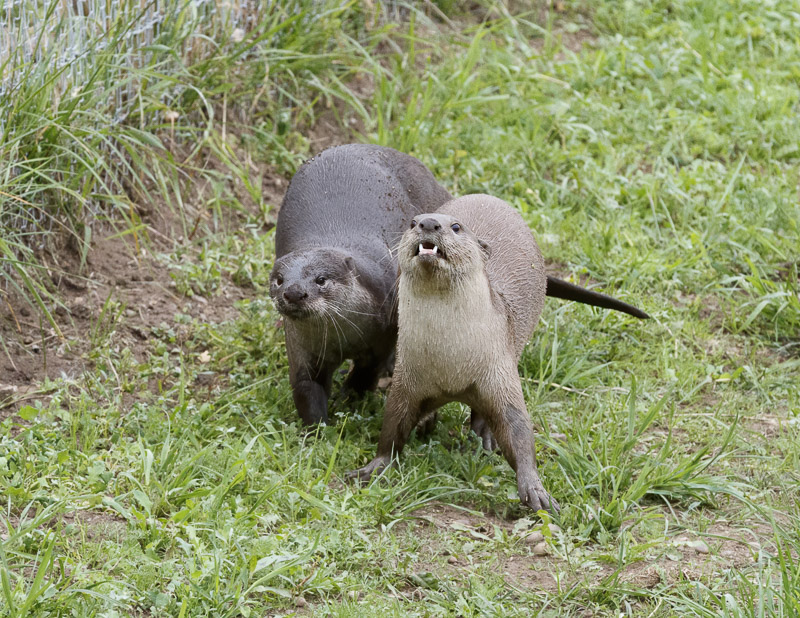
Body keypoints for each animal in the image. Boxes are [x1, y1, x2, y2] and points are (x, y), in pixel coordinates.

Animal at [347, 194, 648, 513]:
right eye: (412, 222)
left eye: (456, 227)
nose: (429, 223)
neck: (452, 360)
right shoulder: (408, 376)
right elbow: (393, 424)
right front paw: (376, 466)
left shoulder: (500, 372)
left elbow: (518, 429)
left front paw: (535, 488)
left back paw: (483, 437)